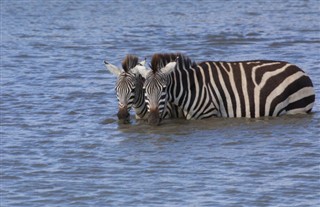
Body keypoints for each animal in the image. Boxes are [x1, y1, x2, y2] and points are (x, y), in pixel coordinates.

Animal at [136, 53, 316, 124]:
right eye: (145, 90)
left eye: (164, 89)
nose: (152, 121)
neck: (191, 87)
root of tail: (302, 71)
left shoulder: (208, 114)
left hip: (296, 109)